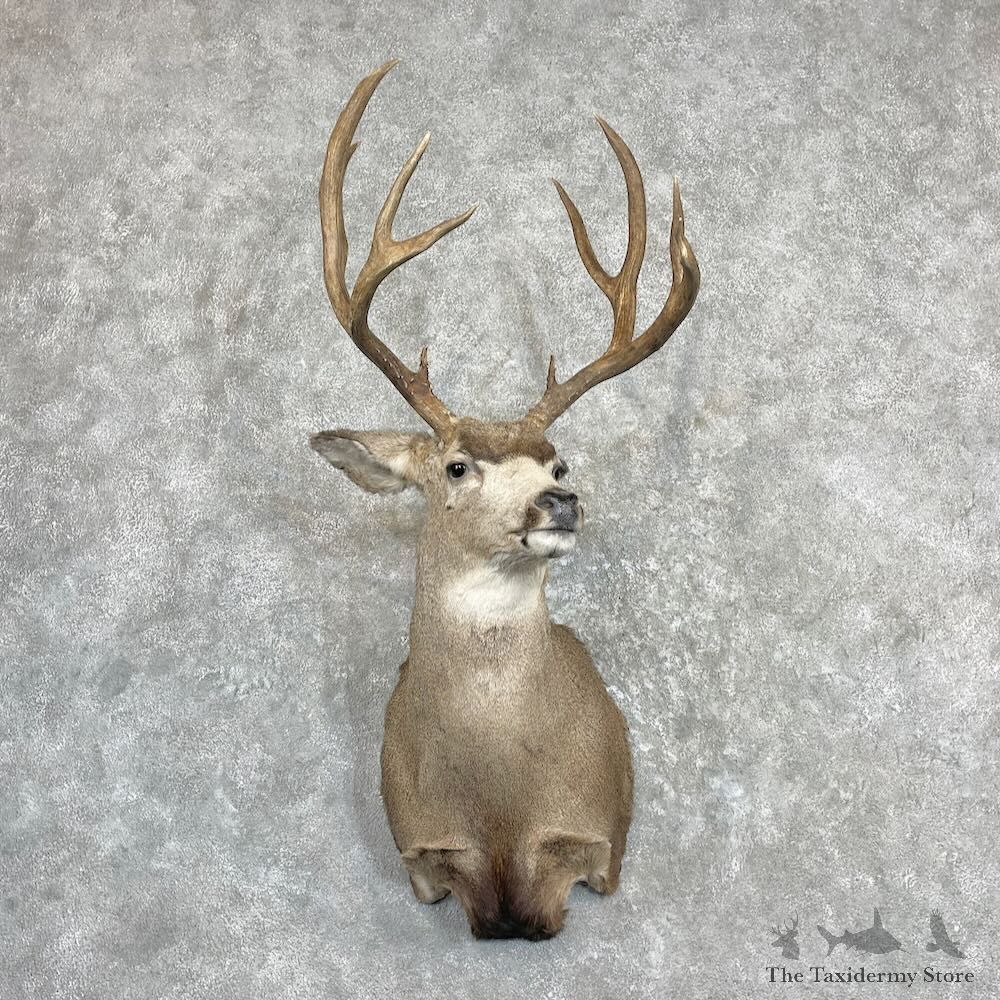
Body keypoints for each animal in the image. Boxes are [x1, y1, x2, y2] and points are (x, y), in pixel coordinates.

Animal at [309, 60, 700, 941]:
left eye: (559, 459)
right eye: (457, 467)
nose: (561, 503)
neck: (499, 804)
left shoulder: (596, 835)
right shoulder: (422, 850)